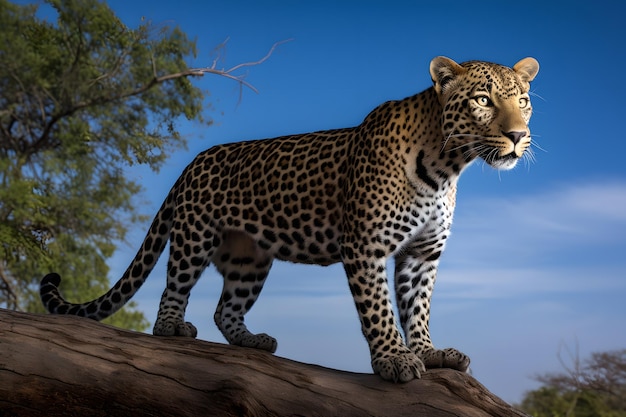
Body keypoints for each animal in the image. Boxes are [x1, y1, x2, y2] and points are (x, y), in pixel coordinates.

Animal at [39, 57, 536, 382]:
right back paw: (172, 329)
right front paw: (393, 359)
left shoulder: (422, 255)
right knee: (173, 288)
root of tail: (193, 162)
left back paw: (252, 340)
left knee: (226, 308)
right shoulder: (367, 246)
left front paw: (430, 353)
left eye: (524, 101)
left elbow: (418, 308)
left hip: (250, 259)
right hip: (194, 236)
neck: (447, 166)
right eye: (482, 100)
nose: (518, 136)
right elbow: (378, 309)